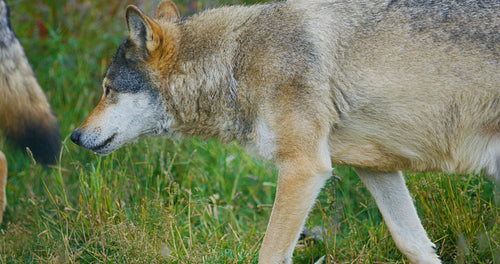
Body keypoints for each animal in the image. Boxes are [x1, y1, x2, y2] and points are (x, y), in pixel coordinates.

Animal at [71, 1, 500, 262]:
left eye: (108, 89)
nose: (74, 136)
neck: (235, 61)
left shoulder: (303, 168)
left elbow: (270, 253)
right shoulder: (374, 168)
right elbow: (413, 243)